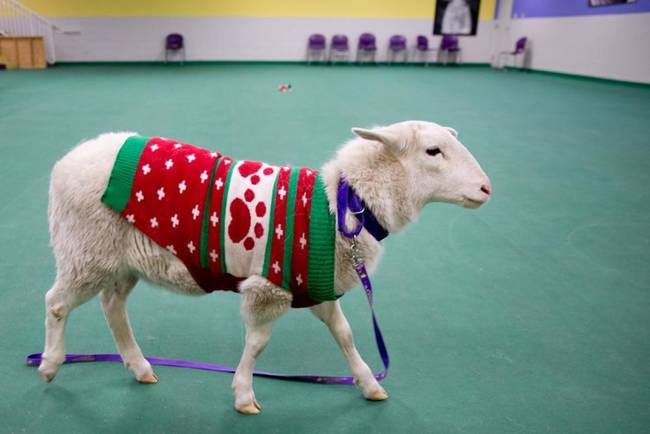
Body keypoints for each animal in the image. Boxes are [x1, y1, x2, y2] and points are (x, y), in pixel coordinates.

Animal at [38, 119, 488, 414]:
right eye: (433, 151)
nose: (487, 188)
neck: (343, 206)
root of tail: (65, 162)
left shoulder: (316, 282)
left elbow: (344, 334)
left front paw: (367, 383)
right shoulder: (269, 287)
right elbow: (258, 343)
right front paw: (243, 394)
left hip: (120, 260)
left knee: (112, 307)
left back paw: (139, 366)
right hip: (86, 250)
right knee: (57, 303)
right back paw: (50, 363)